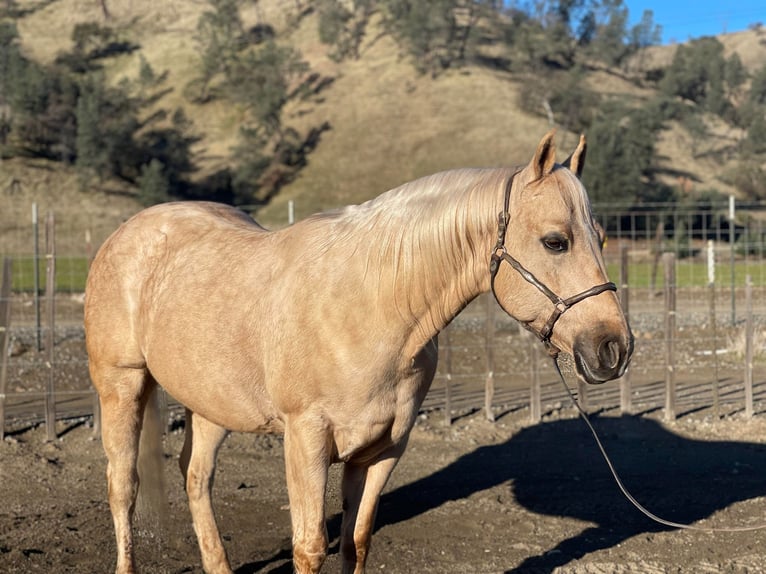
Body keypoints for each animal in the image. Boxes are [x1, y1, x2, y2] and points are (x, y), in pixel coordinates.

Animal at [85, 132, 636, 574]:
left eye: (602, 237)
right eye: (555, 241)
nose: (614, 347)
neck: (368, 306)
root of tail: (126, 232)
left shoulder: (383, 448)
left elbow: (357, 541)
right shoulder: (305, 441)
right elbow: (310, 547)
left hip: (212, 402)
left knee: (196, 477)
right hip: (122, 385)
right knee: (123, 485)